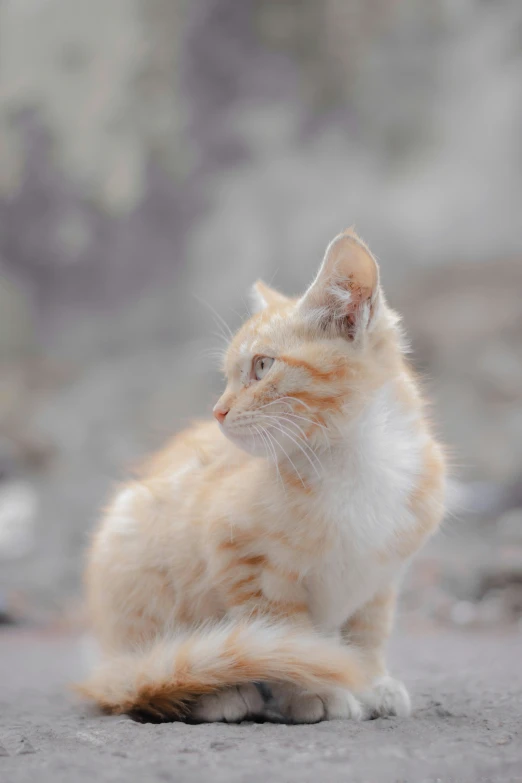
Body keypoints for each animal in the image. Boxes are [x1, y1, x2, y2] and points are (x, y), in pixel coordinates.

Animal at [78, 230, 442, 724]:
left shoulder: (381, 577)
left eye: (263, 366)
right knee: (151, 673)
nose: (217, 411)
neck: (358, 459)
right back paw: (216, 693)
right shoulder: (242, 557)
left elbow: (367, 632)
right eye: (228, 376)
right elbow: (288, 637)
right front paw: (313, 691)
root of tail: (108, 662)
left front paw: (371, 680)